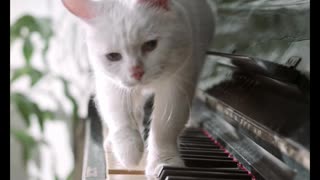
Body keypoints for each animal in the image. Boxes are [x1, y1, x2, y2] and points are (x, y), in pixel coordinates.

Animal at [62, 0, 215, 176]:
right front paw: (129, 153)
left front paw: (164, 162)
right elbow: (121, 118)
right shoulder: (111, 84)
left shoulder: (179, 83)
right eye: (113, 56)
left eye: (151, 45)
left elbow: (165, 128)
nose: (137, 72)